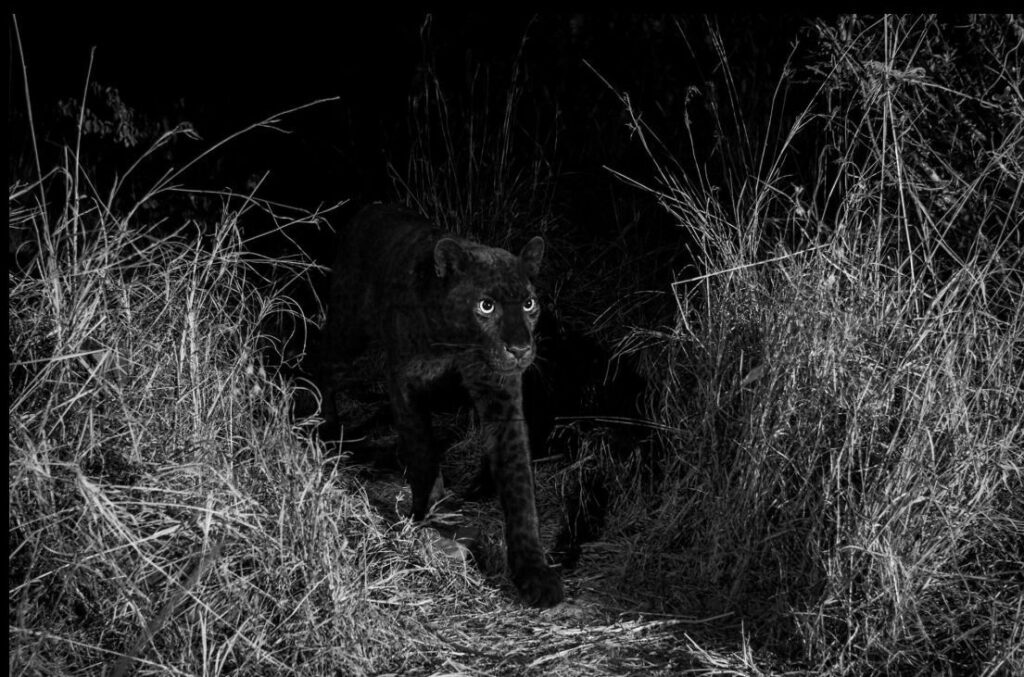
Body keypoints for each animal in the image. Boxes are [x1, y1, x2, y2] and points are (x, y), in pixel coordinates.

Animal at [320, 202, 564, 608]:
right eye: (486, 306)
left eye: (529, 304)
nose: (519, 349)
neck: (457, 343)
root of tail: (368, 208)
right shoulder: (404, 379)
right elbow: (422, 449)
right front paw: (434, 517)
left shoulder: (501, 393)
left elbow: (518, 484)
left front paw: (534, 573)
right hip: (348, 328)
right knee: (317, 354)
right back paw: (323, 428)